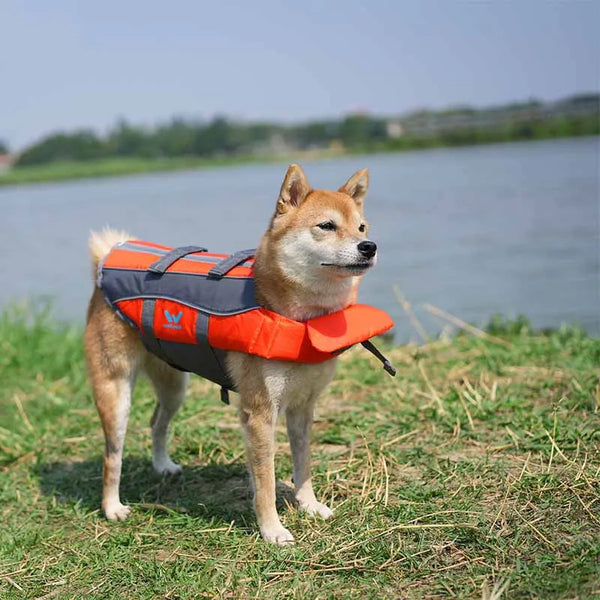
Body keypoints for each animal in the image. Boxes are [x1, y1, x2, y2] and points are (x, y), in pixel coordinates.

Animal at [83, 163, 380, 544]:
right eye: (327, 225)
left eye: (361, 227)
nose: (369, 246)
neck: (296, 316)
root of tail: (104, 262)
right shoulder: (260, 413)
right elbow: (266, 482)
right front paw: (272, 530)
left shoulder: (302, 407)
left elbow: (303, 465)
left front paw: (310, 505)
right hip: (116, 391)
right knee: (112, 456)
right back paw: (112, 507)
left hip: (174, 386)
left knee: (157, 422)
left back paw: (163, 465)